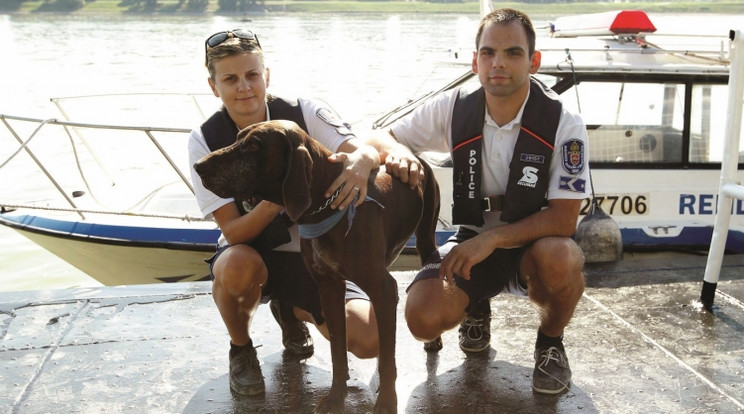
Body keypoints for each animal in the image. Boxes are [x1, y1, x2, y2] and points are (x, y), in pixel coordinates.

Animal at [192, 118, 438, 412]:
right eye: (239, 136)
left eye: (253, 145)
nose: (198, 165)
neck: (323, 208)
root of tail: (412, 155)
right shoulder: (329, 288)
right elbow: (338, 352)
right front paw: (336, 397)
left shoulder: (382, 288)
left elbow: (388, 360)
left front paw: (387, 402)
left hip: (424, 238)